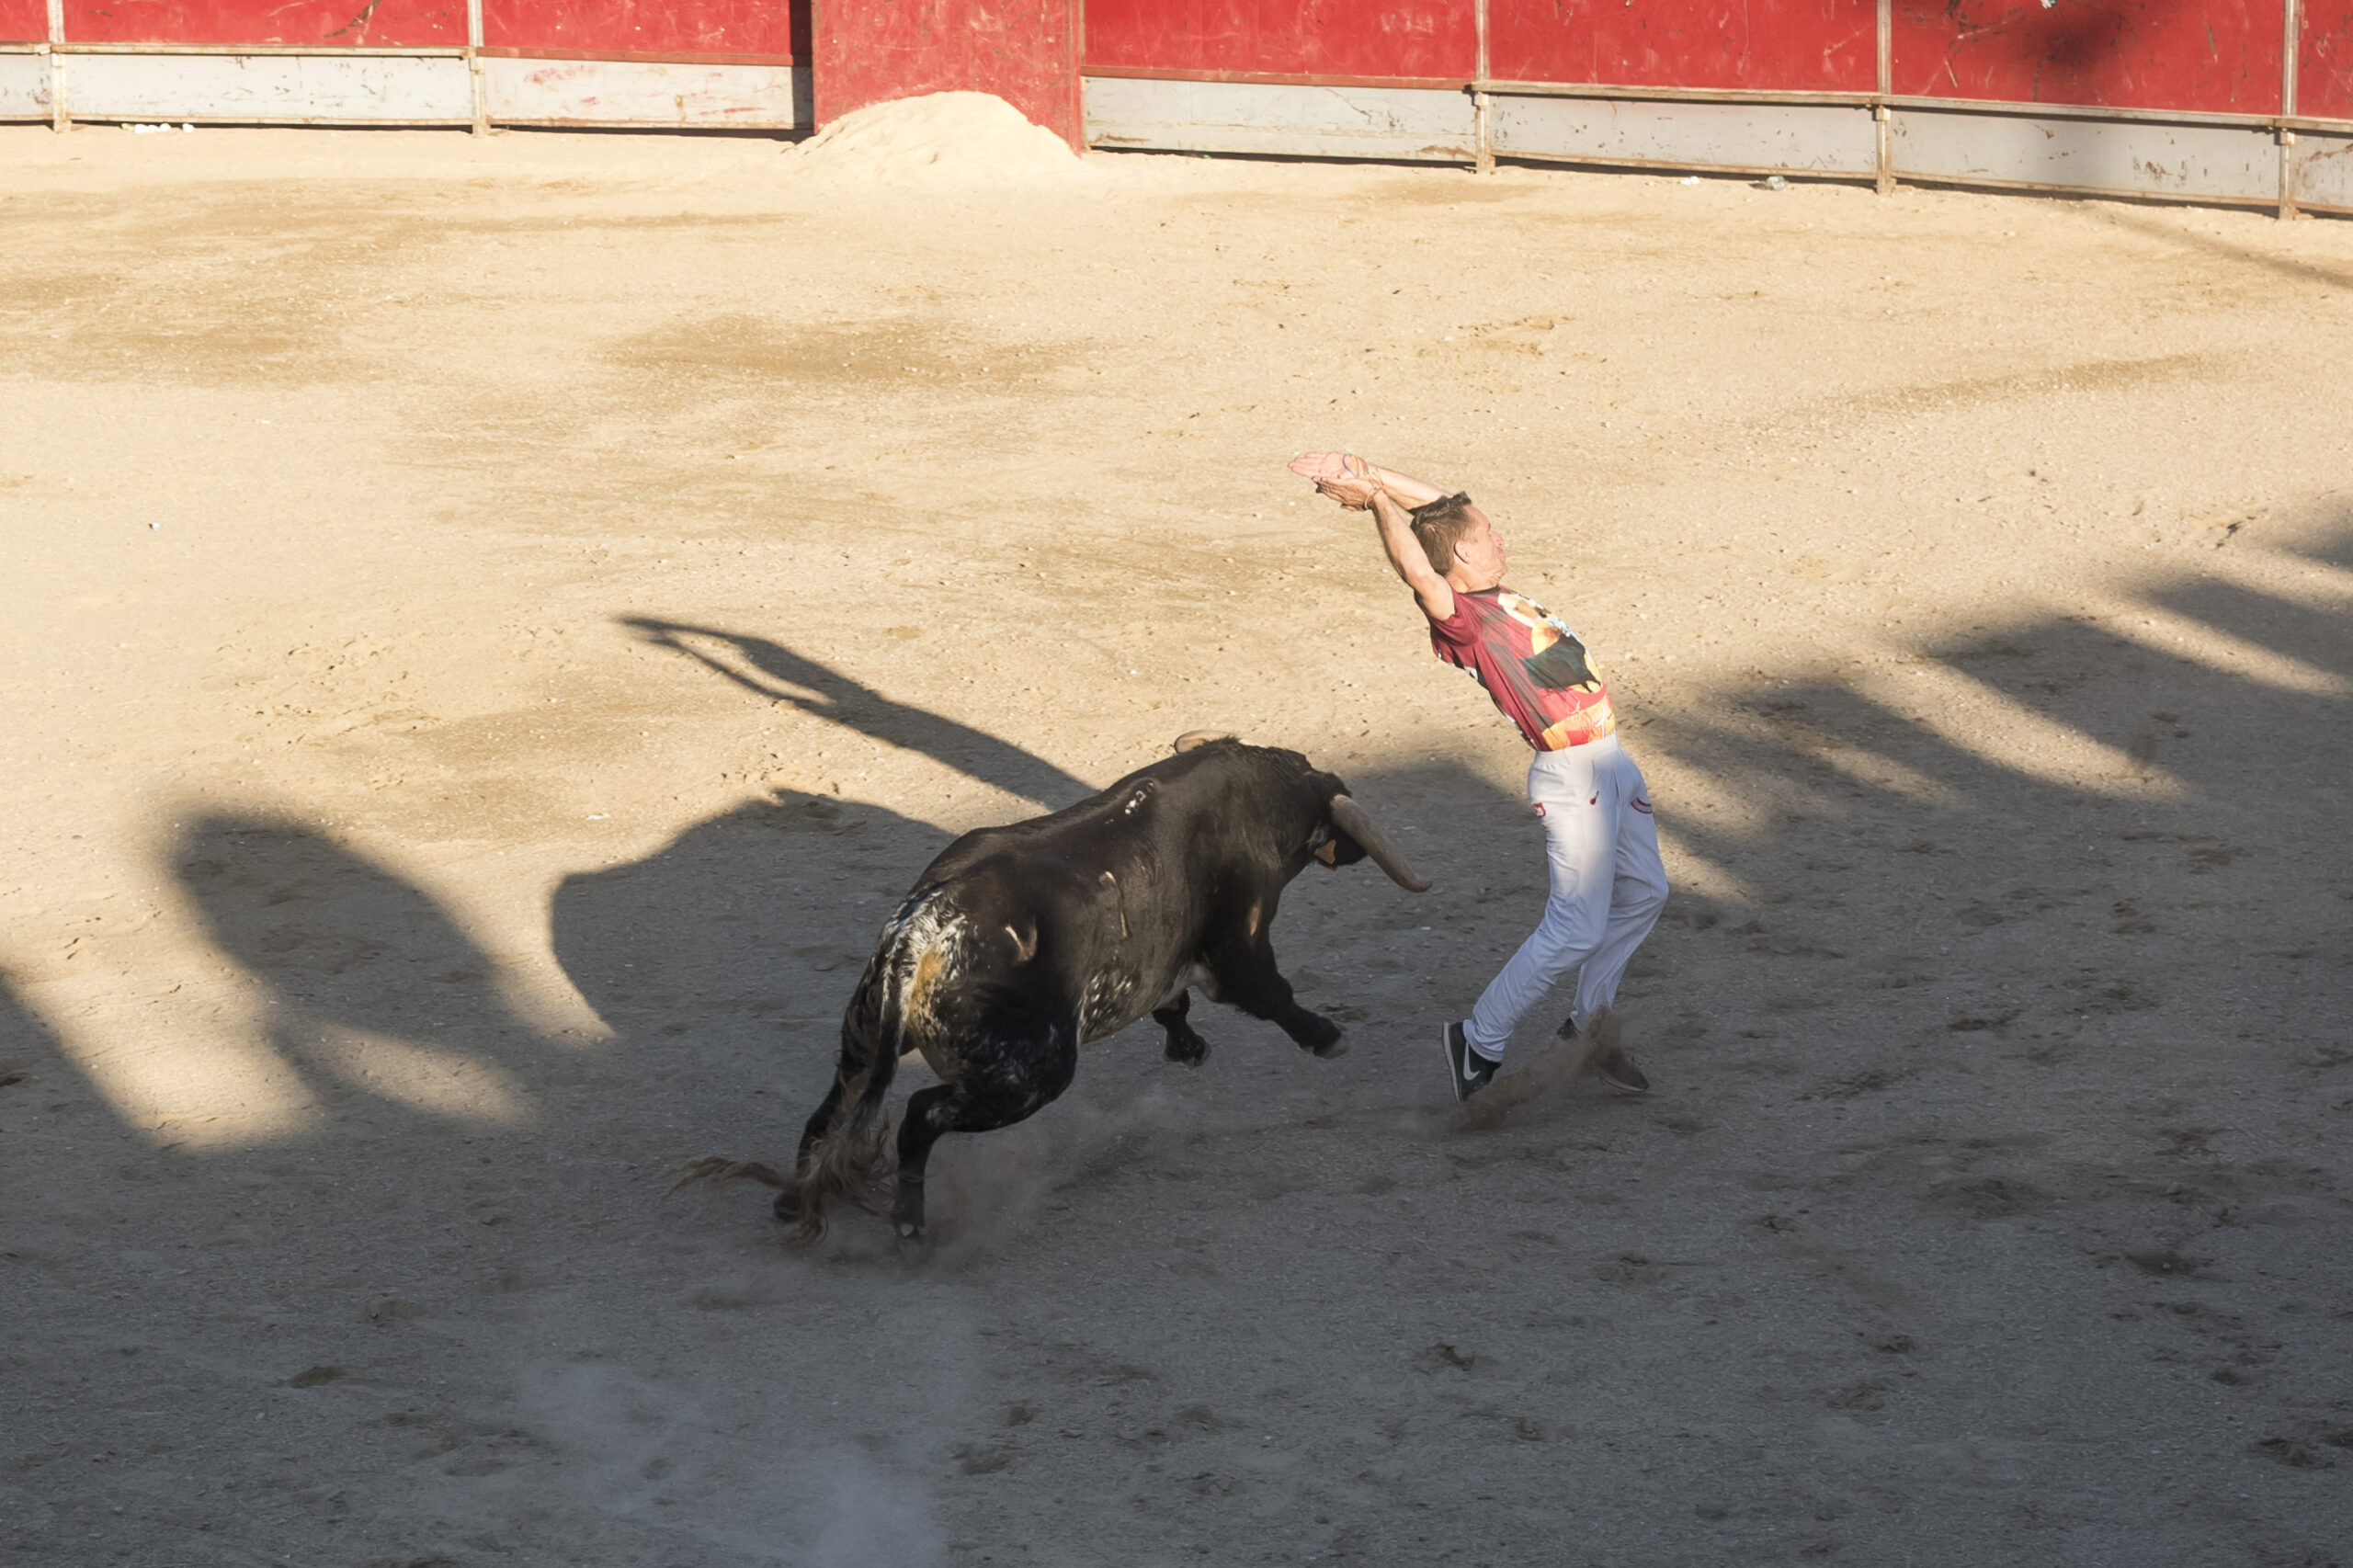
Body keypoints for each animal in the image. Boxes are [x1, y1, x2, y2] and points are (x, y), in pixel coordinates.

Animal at [687, 730, 1421, 1233]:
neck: (1257, 795)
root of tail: (922, 931)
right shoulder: (1240, 944)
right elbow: (1270, 995)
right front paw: (1326, 1037)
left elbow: (1172, 1003)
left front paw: (1188, 1048)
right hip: (1031, 1072)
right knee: (922, 1115)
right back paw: (909, 1222)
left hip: (865, 1038)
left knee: (828, 1113)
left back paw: (794, 1201)